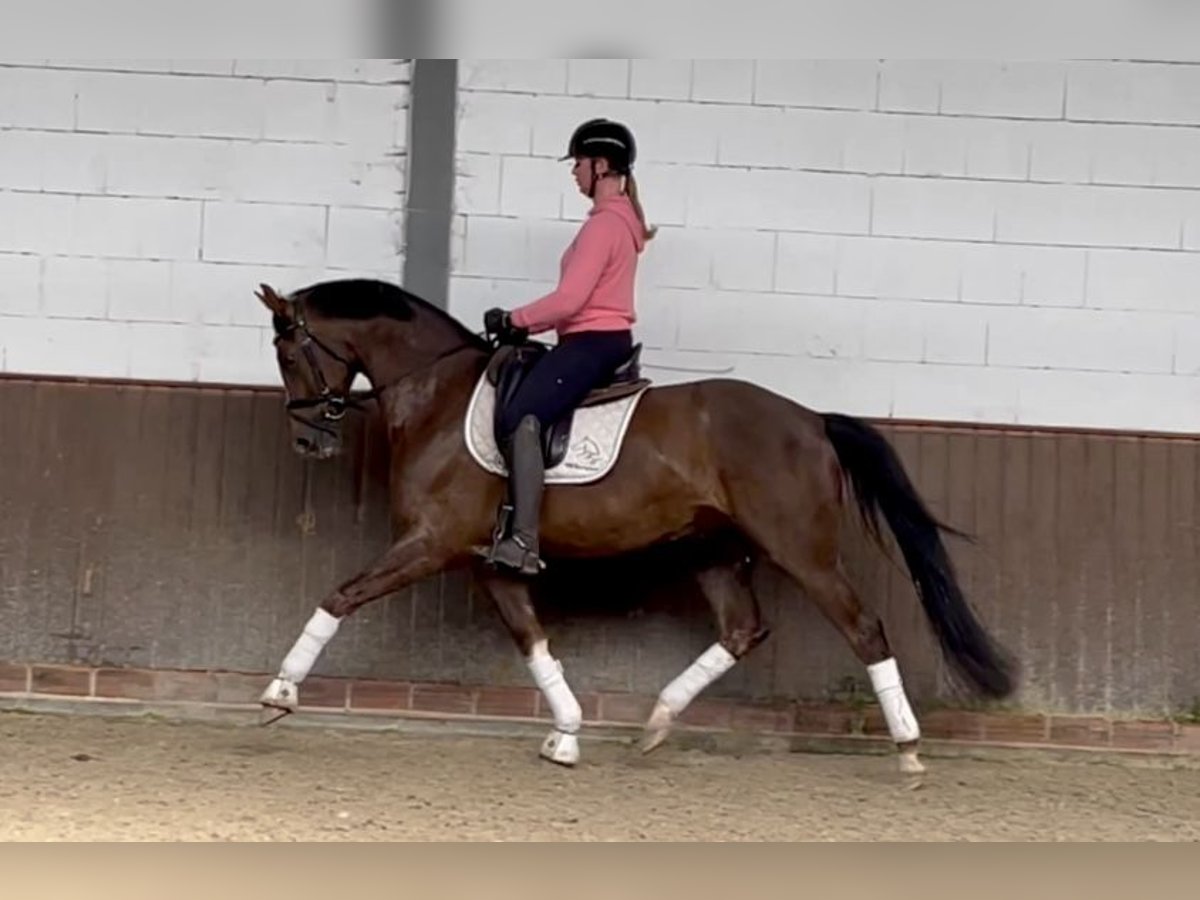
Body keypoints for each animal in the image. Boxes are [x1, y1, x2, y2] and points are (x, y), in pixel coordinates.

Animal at [258, 277, 1017, 777]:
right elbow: (533, 641)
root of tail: (810, 420)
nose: (305, 441)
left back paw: (909, 749)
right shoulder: (485, 560)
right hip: (715, 549)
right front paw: (566, 734)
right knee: (742, 629)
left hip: (802, 549)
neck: (437, 393)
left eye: (289, 355)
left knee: (863, 628)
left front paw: (279, 693)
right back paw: (655, 724)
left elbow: (339, 596)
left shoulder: (431, 543)